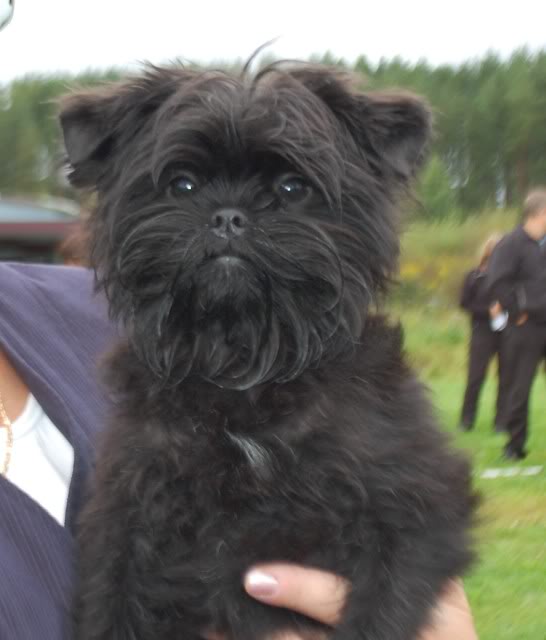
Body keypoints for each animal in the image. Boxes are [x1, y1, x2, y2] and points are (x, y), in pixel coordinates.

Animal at [60, 63, 476, 640]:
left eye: (291, 187)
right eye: (183, 184)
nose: (228, 216)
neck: (245, 368)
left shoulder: (413, 508)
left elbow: (380, 611)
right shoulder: (127, 519)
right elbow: (111, 608)